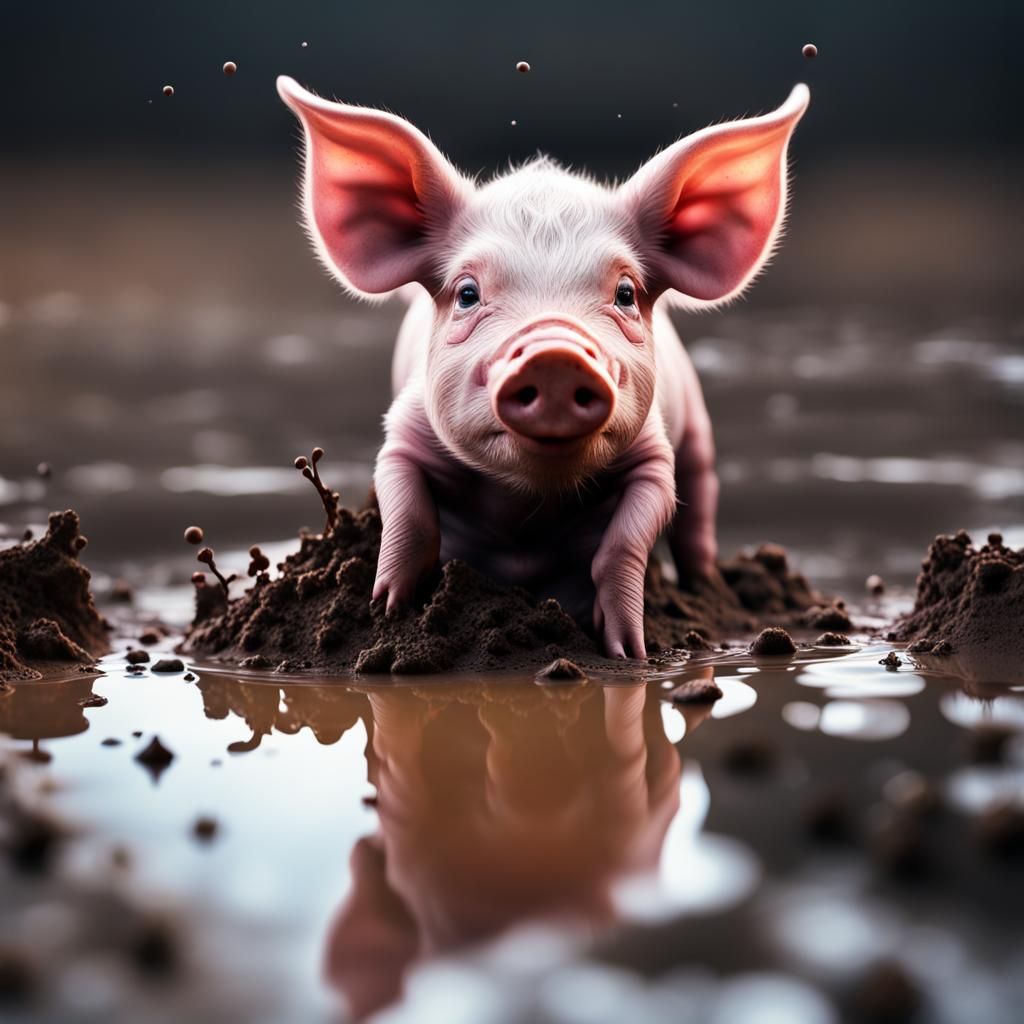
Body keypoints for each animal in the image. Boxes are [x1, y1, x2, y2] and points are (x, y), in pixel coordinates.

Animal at [277, 77, 809, 658]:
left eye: (626, 293)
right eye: (467, 293)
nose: (555, 356)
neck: (526, 503)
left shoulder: (653, 454)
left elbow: (626, 542)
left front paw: (628, 650)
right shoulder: (404, 432)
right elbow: (409, 517)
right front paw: (388, 612)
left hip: (696, 428)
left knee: (699, 503)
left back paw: (706, 588)